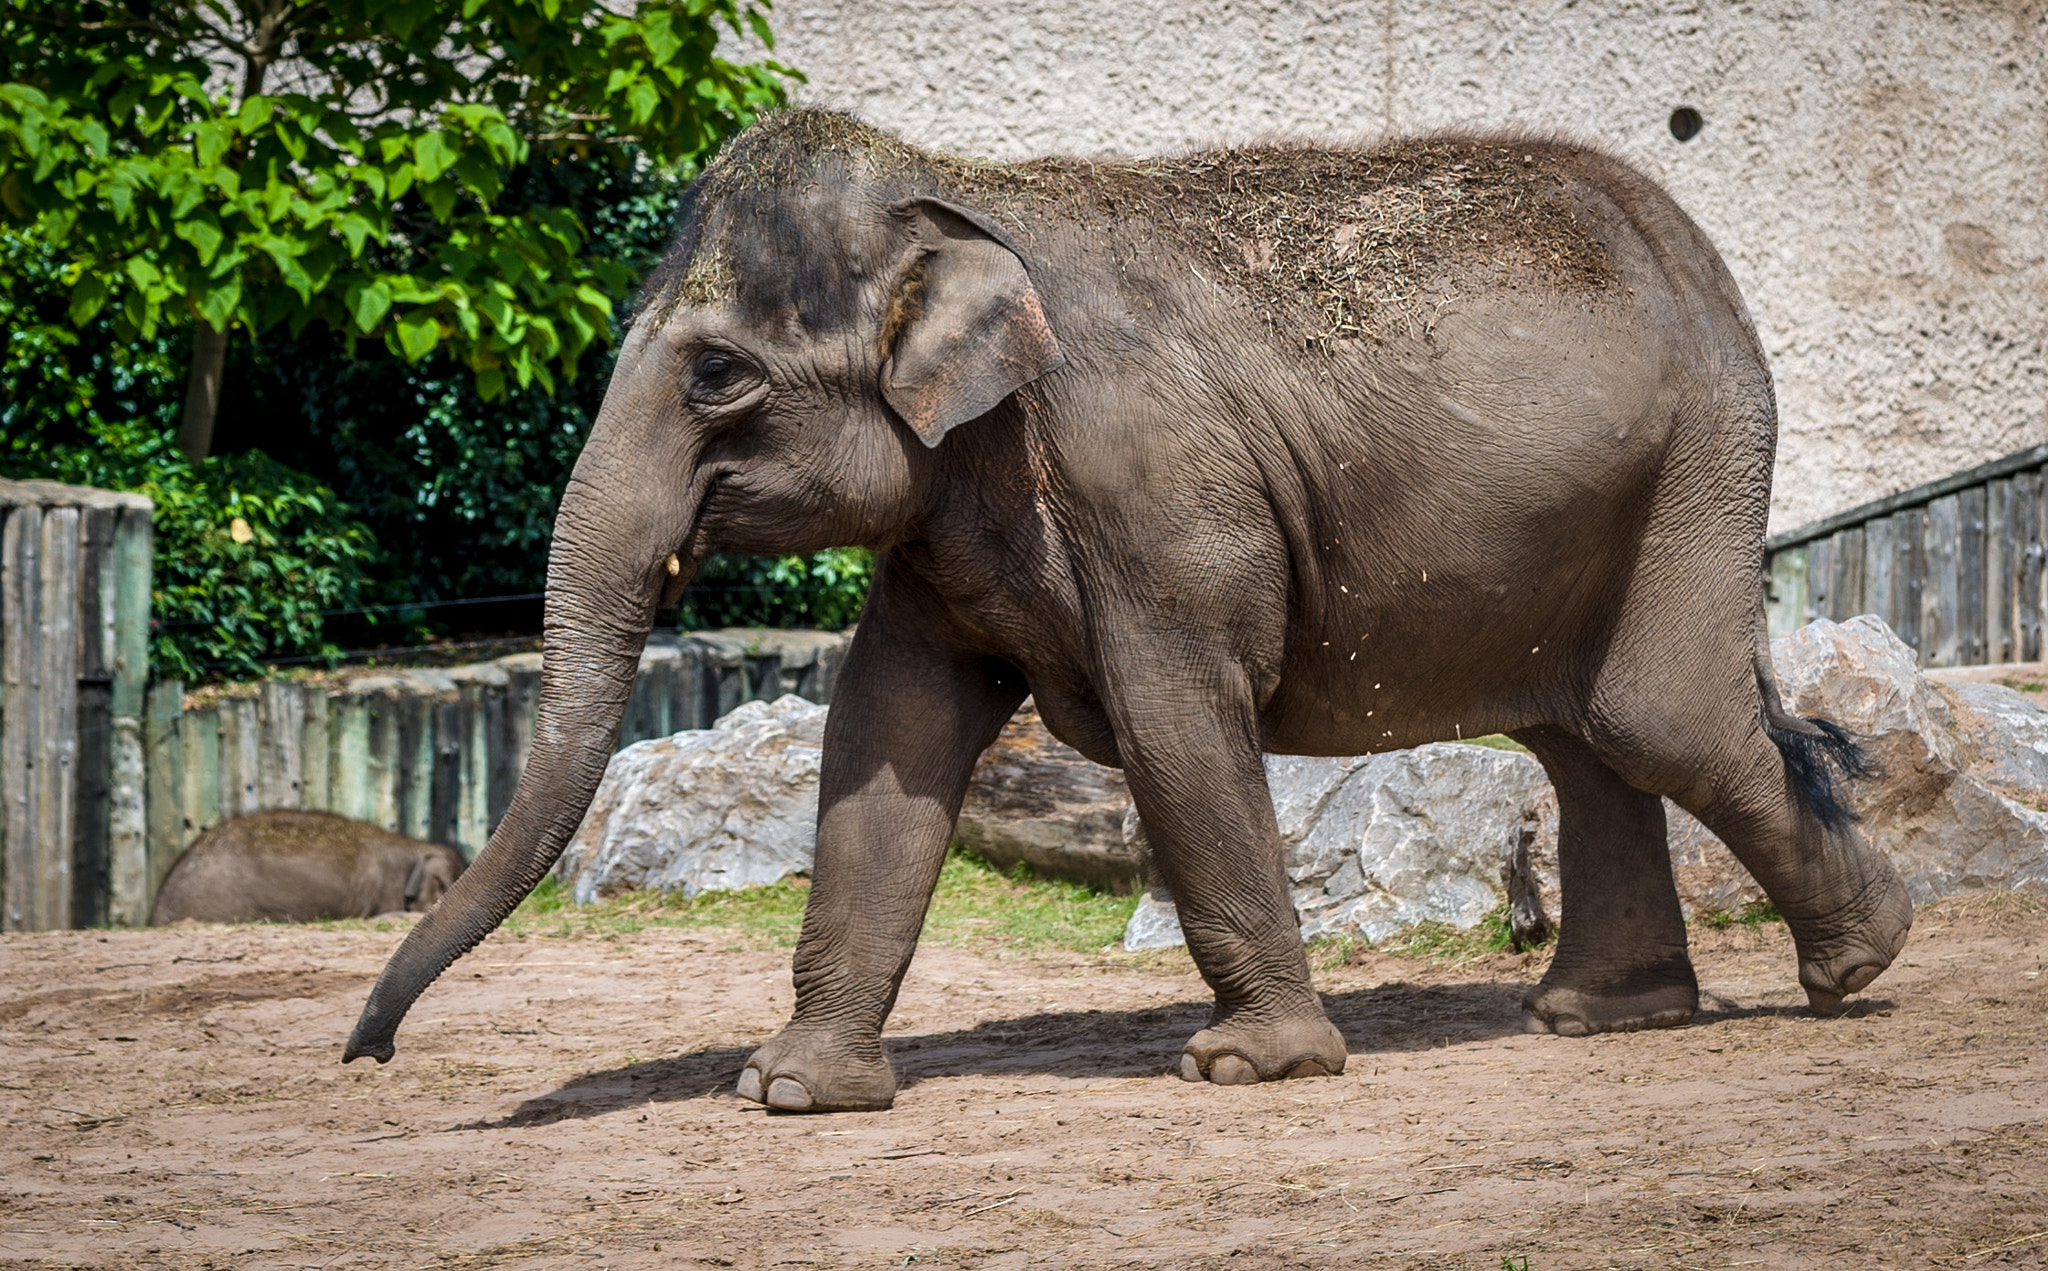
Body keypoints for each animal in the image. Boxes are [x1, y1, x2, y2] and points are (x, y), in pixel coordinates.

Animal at [344, 111, 1908, 1113]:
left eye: (718, 374)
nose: (367, 1057)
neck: (958, 192)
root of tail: (1698, 252)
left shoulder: (1152, 486)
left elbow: (1174, 718)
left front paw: (1249, 1068)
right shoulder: (944, 514)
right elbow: (885, 736)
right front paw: (788, 1087)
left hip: (1699, 464)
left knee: (1655, 715)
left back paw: (1864, 956)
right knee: (1583, 735)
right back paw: (1603, 1013)